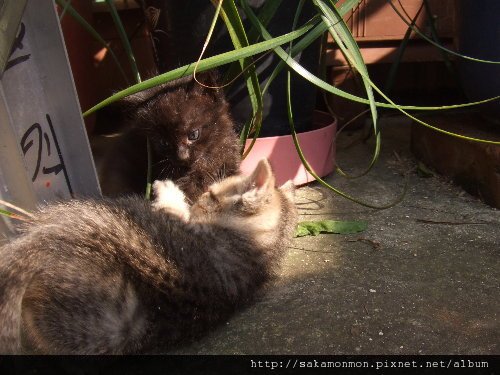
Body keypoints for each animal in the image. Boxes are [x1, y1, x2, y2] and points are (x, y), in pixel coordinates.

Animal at [0, 160, 296, 354]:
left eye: (211, 194)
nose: (200, 196)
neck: (254, 247)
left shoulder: (190, 225)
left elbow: (176, 210)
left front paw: (168, 191)